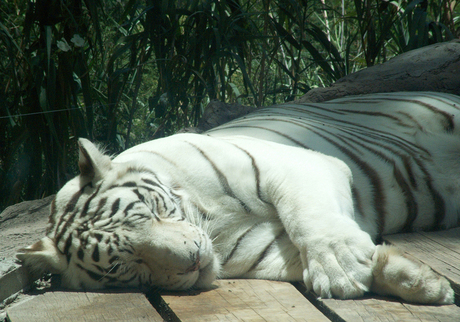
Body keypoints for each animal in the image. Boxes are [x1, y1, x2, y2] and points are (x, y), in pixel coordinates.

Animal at [16, 91, 458, 304]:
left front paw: (341, 266)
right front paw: (419, 281)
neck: (211, 220)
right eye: (127, 266)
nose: (194, 259)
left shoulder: (297, 164)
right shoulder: (261, 247)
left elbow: (309, 217)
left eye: (154, 212)